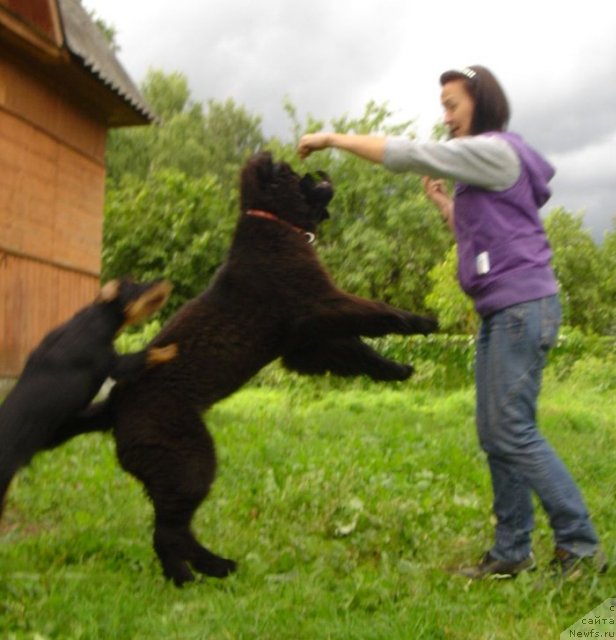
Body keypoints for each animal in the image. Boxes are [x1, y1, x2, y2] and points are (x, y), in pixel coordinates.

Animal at [0, 278, 176, 516]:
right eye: (135, 286)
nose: (166, 282)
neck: (99, 318)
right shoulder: (116, 364)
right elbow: (148, 354)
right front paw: (171, 349)